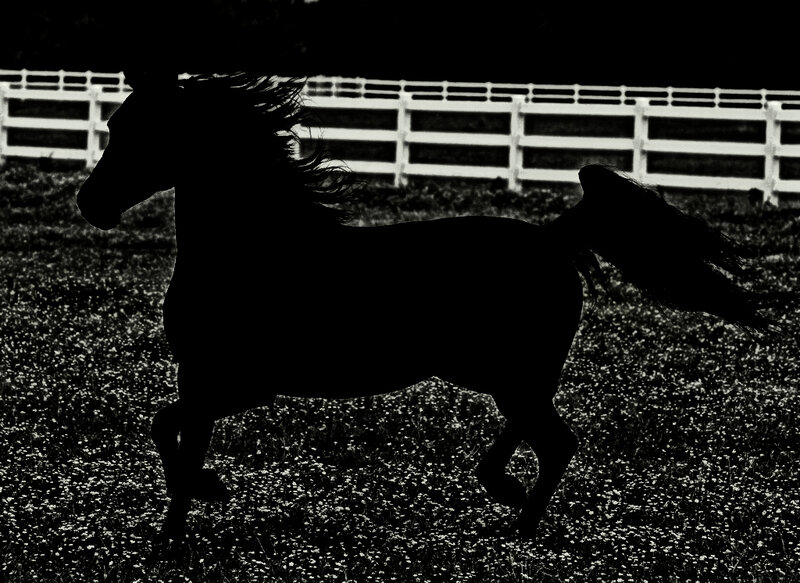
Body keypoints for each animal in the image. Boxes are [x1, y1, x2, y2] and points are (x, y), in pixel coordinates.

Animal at [76, 71, 788, 541]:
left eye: (144, 131)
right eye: (112, 125)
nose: (90, 202)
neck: (254, 251)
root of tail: (551, 238)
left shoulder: (234, 380)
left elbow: (172, 433)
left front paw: (183, 519)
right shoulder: (216, 381)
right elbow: (169, 430)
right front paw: (198, 500)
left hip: (510, 373)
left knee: (556, 441)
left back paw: (520, 521)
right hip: (500, 373)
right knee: (537, 432)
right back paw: (500, 488)